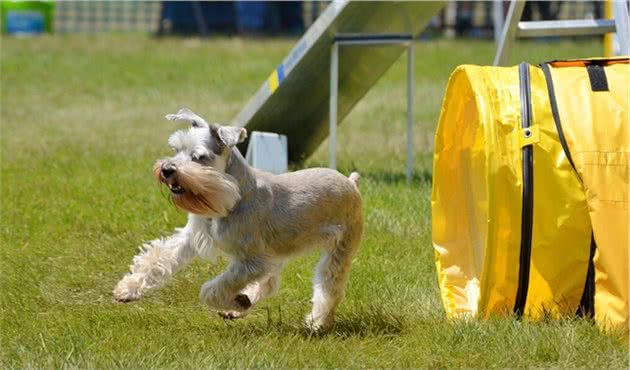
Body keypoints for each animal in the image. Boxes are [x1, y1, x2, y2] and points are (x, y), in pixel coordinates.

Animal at [111, 107, 362, 330]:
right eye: (175, 149)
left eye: (199, 157)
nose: (167, 169)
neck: (231, 197)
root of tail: (351, 183)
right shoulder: (192, 238)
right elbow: (158, 257)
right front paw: (127, 289)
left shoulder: (251, 261)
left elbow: (212, 290)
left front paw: (235, 301)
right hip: (278, 253)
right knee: (269, 284)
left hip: (338, 251)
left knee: (328, 289)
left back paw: (317, 322)